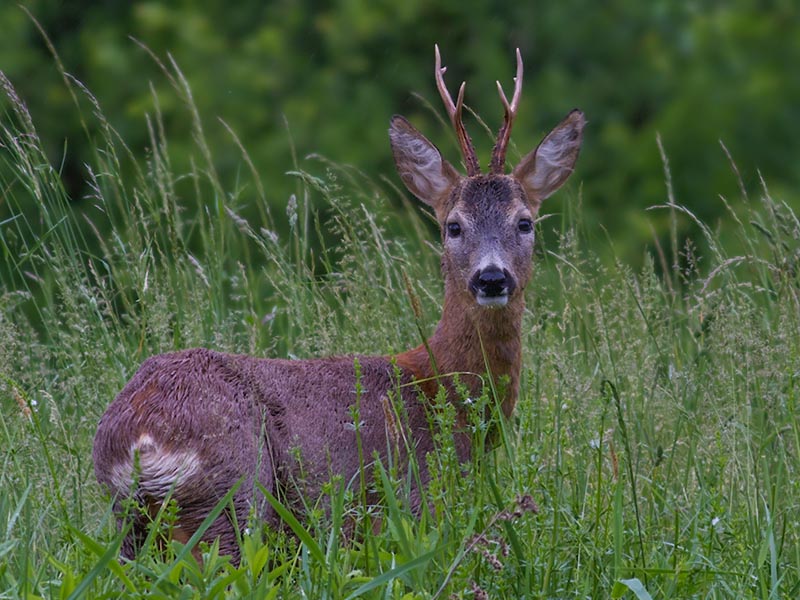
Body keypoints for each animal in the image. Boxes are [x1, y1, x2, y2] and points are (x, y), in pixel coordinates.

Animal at [94, 45, 584, 564]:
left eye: (525, 221)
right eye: (453, 225)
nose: (491, 277)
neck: (443, 386)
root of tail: (139, 440)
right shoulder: (417, 499)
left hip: (134, 525)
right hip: (236, 494)